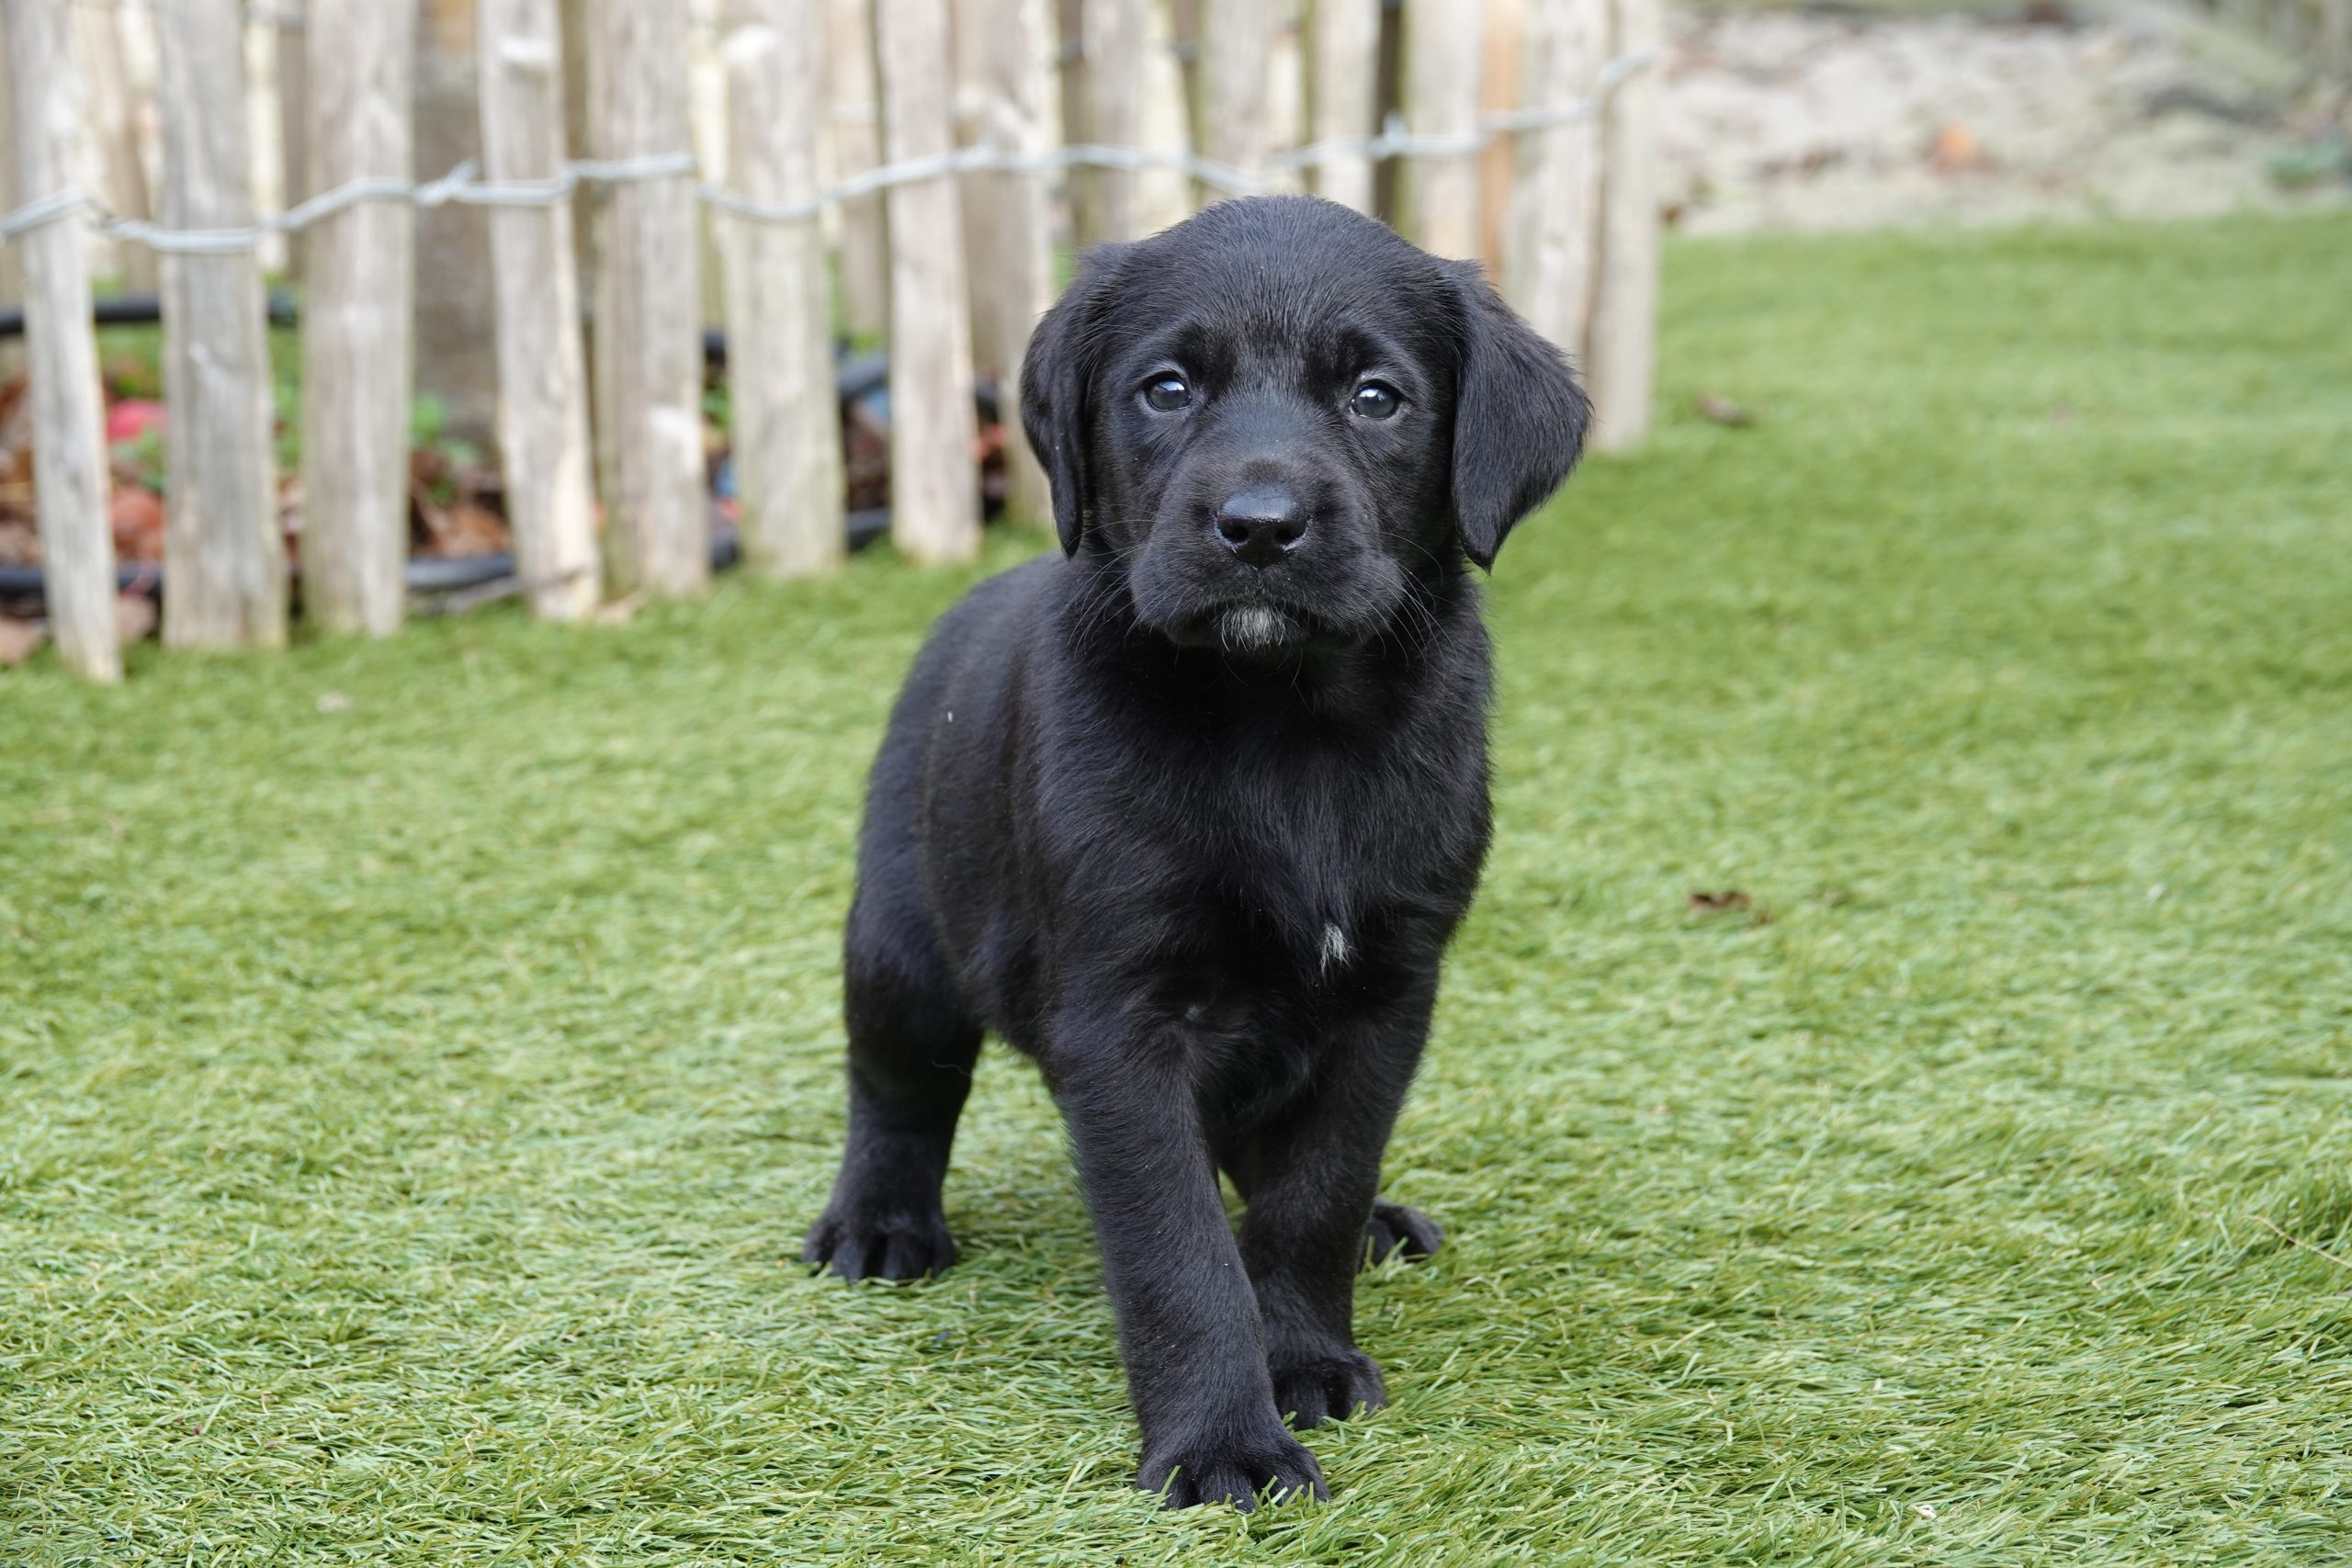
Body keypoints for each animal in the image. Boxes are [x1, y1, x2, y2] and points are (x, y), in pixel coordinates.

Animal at [803, 196, 1589, 1509]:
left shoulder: (1387, 992)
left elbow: (1314, 1188)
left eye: (1376, 397)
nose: (1258, 528)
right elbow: (1176, 1249)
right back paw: (880, 1225)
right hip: (905, 941)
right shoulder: (1123, 1020)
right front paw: (1224, 1440)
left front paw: (1307, 1354)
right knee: (899, 1091)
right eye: (1165, 389)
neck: (1282, 722)